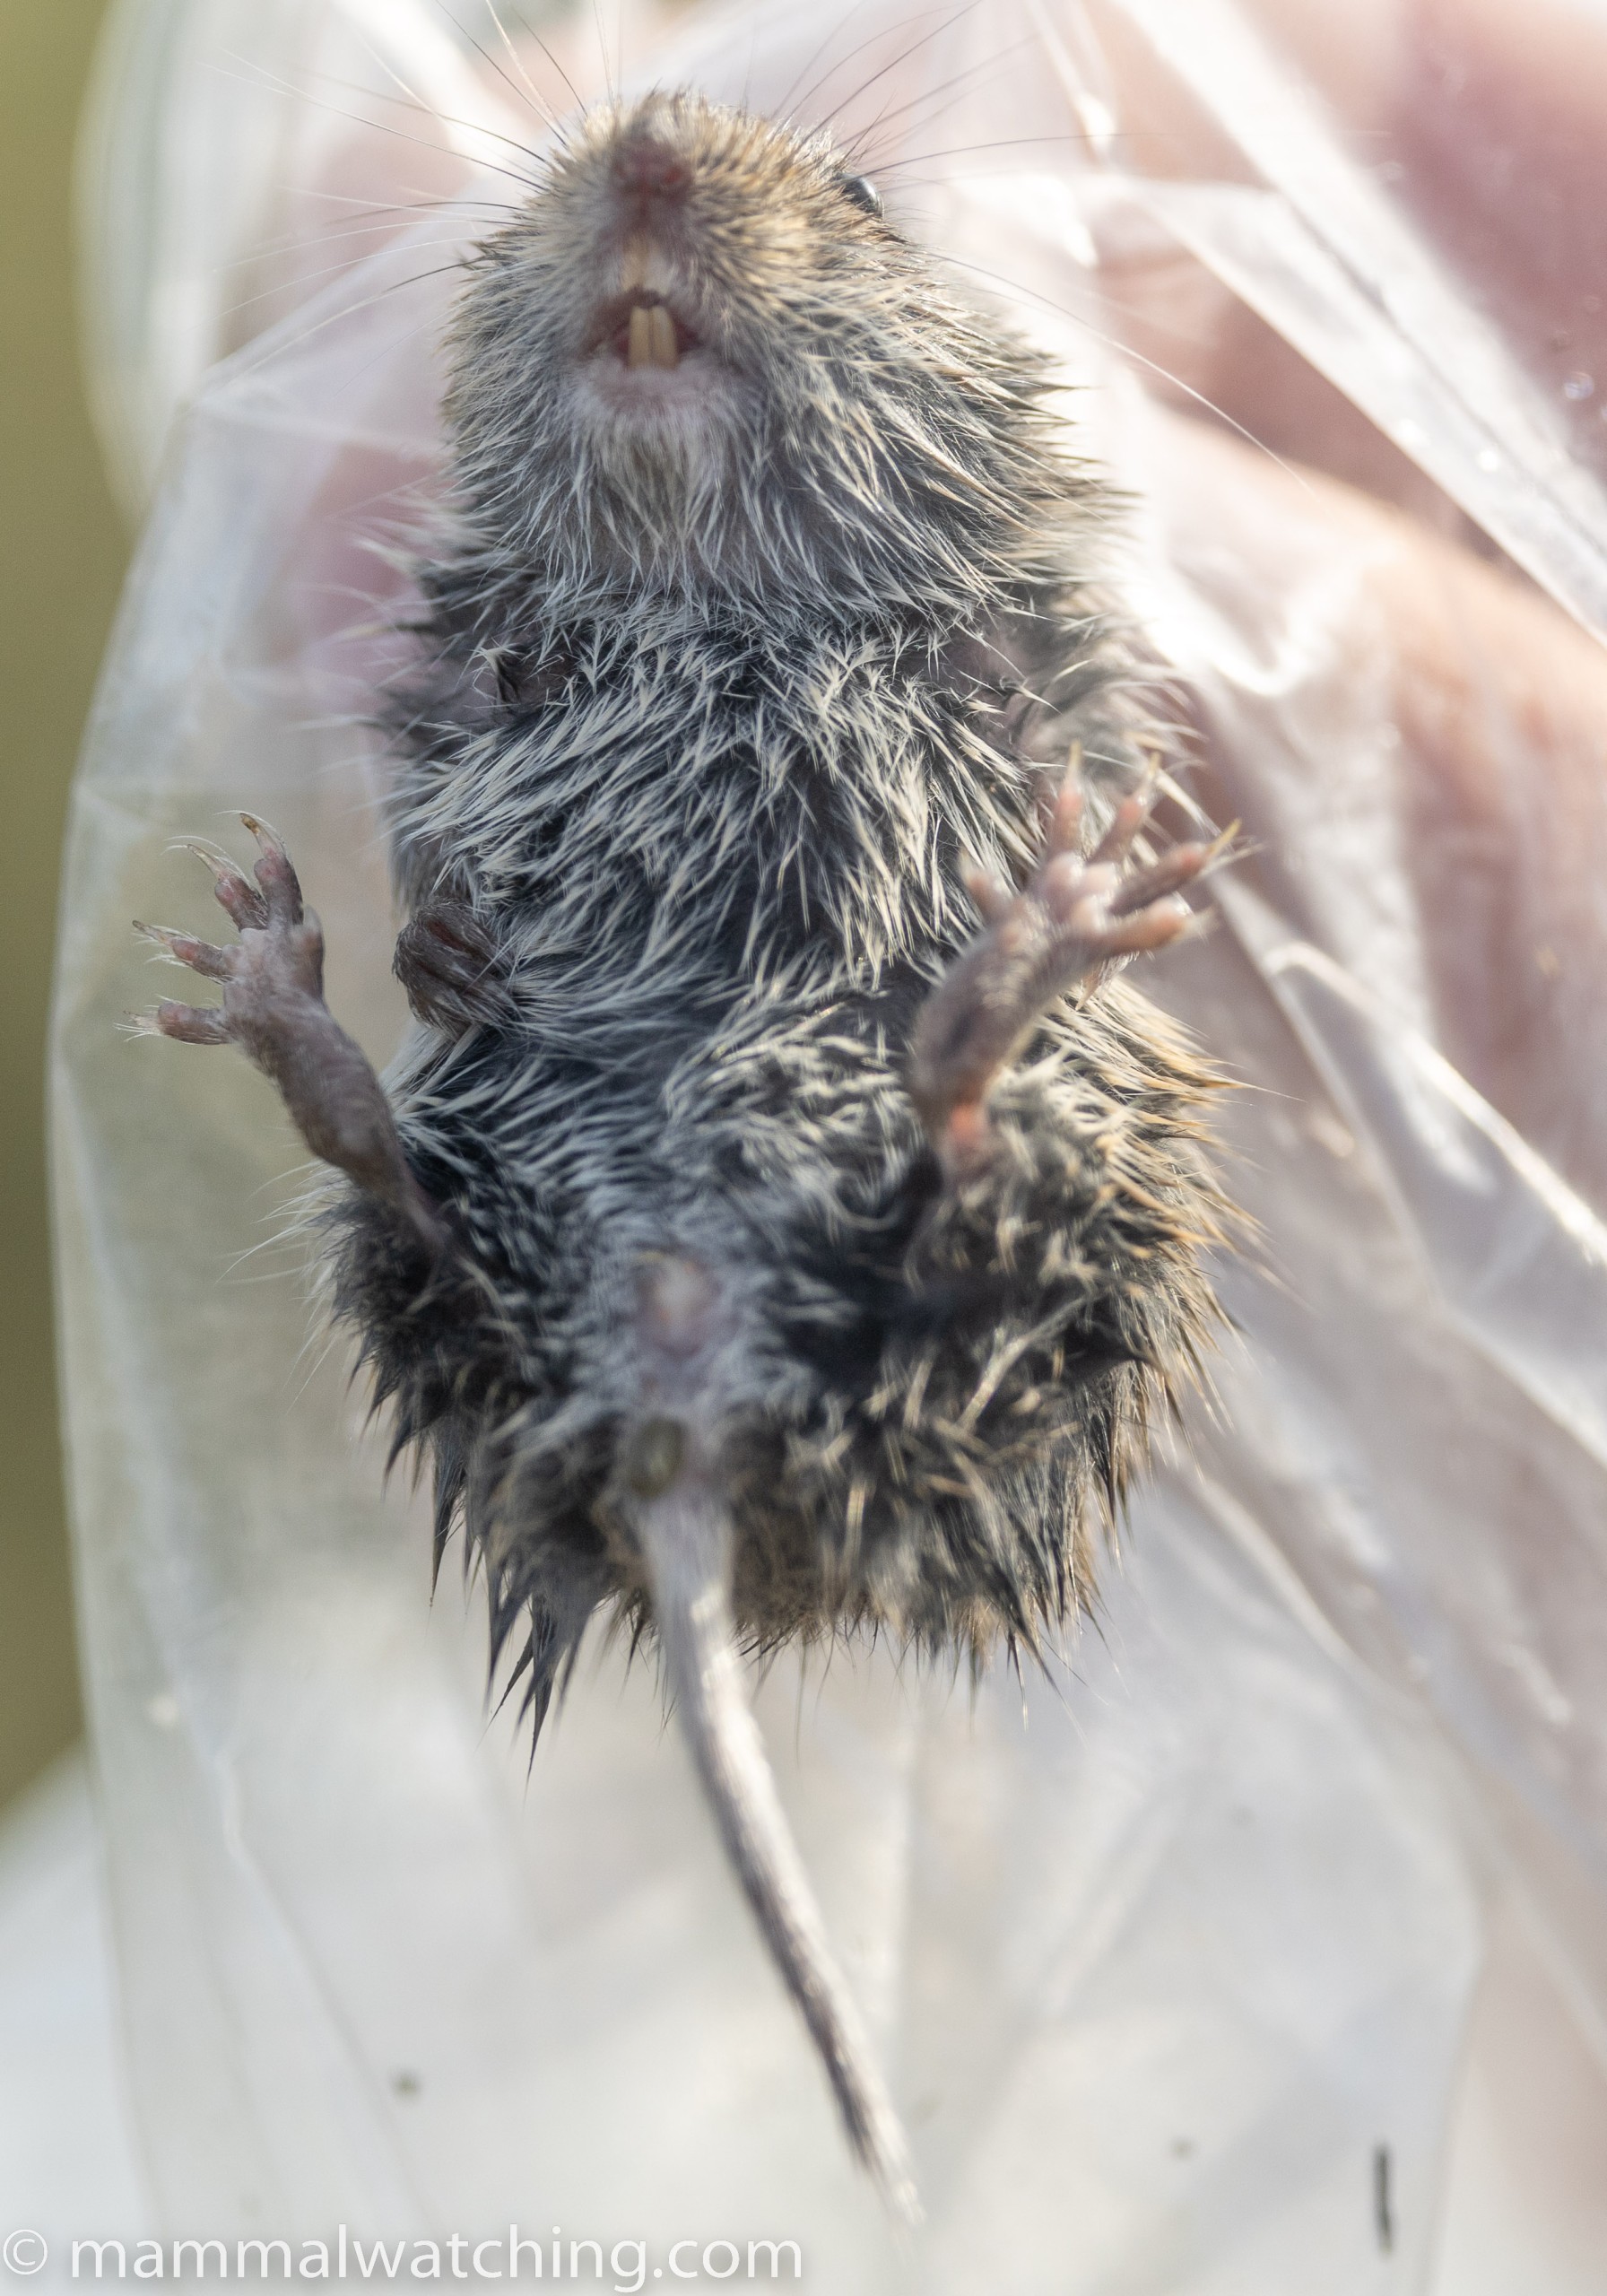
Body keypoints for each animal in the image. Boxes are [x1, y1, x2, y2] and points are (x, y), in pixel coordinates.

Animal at [136, 91, 1230, 2212]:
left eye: (866, 197)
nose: (640, 141)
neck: (698, 595)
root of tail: (679, 1399)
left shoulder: (1054, 659)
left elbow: (1072, 747)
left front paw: (1074, 860)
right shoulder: (446, 682)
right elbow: (434, 814)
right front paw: (444, 948)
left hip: (1079, 1228)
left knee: (963, 1164)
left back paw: (1013, 968)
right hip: (457, 1250)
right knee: (402, 1196)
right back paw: (294, 1004)